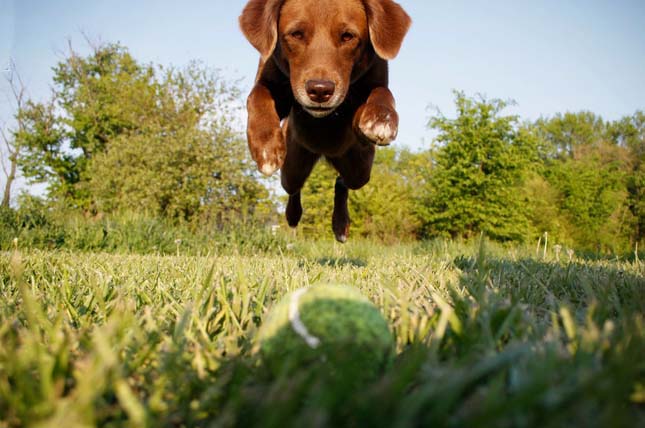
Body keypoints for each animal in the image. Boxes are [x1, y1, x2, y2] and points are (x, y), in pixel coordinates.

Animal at [239, 0, 410, 241]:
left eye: (348, 36)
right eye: (296, 34)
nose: (320, 90)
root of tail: (325, 154)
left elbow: (382, 92)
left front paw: (380, 118)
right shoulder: (270, 78)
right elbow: (257, 96)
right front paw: (266, 146)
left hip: (360, 169)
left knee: (342, 181)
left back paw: (341, 226)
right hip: (293, 164)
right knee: (294, 188)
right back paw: (293, 214)